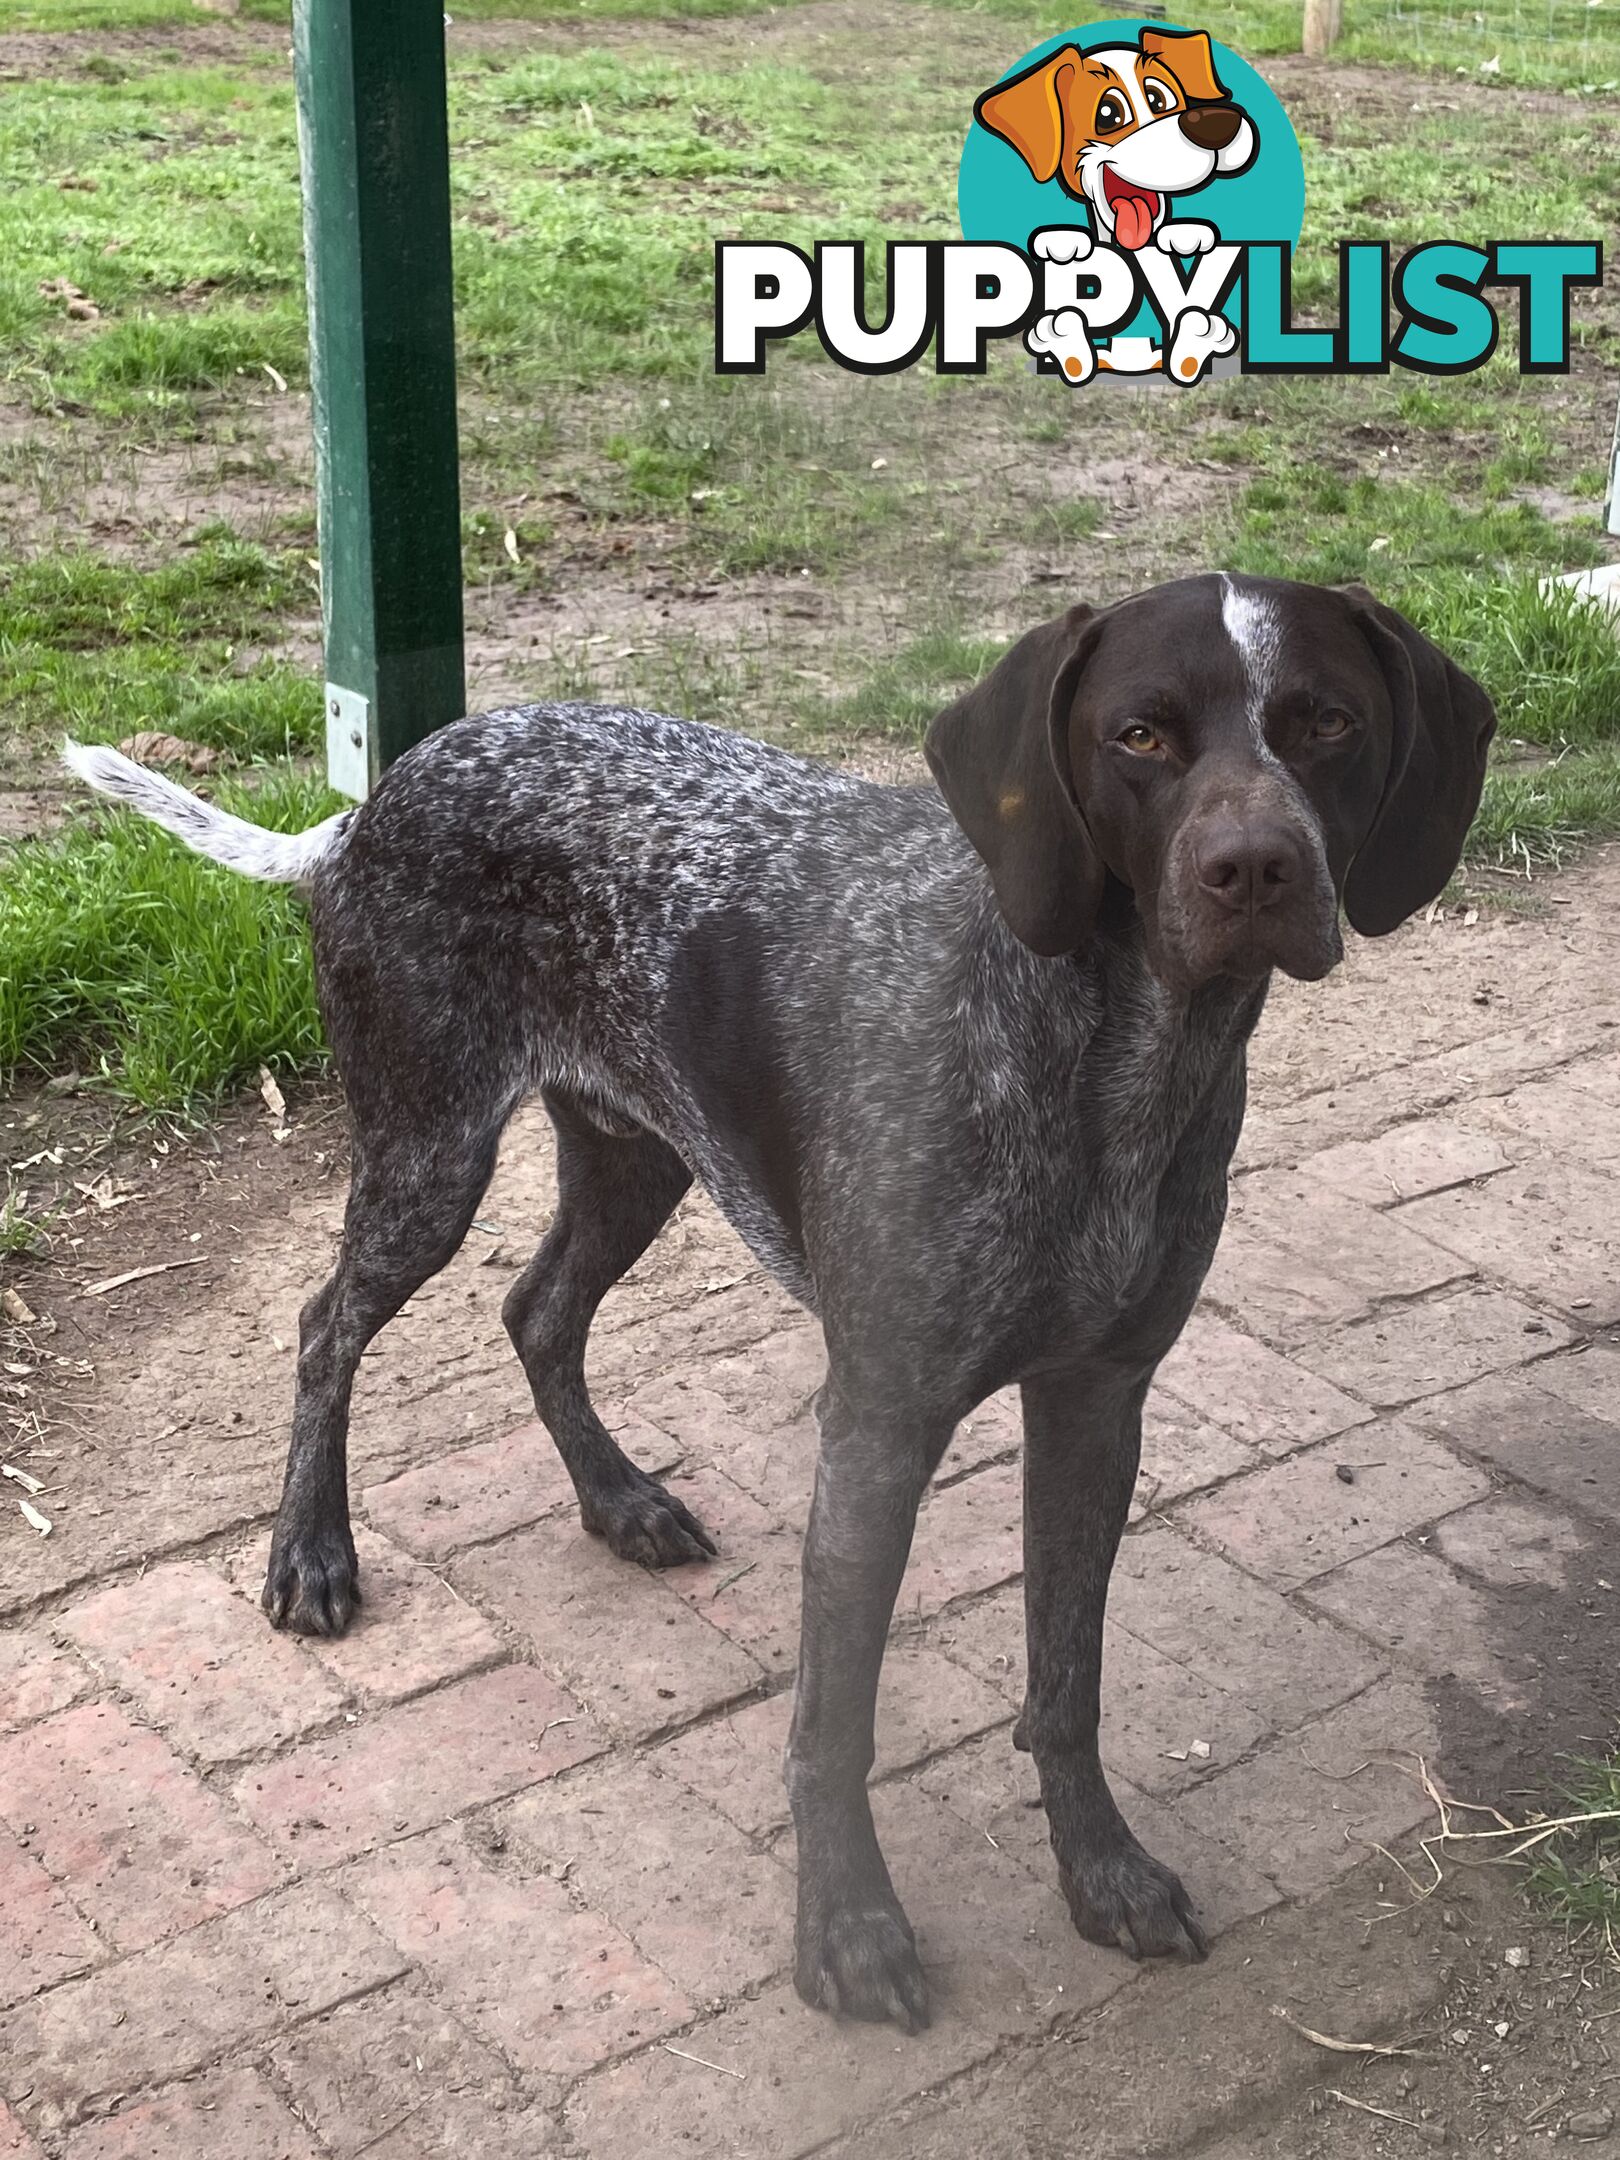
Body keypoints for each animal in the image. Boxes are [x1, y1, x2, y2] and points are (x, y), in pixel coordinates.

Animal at [66, 570, 1494, 2021]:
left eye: (1327, 721)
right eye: (1139, 735)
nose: (1254, 870)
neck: (1111, 1058)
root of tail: (374, 802)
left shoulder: (1097, 1404)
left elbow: (1066, 1683)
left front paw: (1099, 1871)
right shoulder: (876, 1431)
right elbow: (835, 1726)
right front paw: (847, 1928)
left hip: (635, 1160)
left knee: (535, 1310)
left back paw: (618, 1501)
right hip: (429, 1160)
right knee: (327, 1326)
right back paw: (311, 1552)